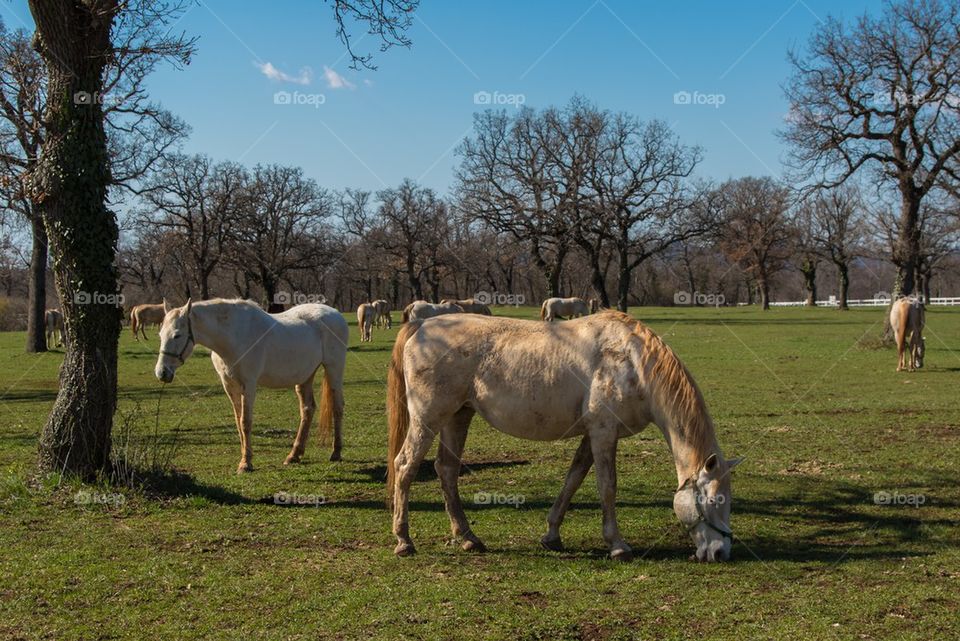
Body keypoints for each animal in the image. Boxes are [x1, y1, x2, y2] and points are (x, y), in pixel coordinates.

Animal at [156, 298, 350, 470]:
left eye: (177, 335)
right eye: (160, 335)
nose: (161, 372)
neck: (234, 337)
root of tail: (335, 314)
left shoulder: (248, 385)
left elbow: (245, 422)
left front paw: (246, 463)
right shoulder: (230, 386)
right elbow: (238, 422)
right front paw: (244, 458)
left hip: (334, 369)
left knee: (337, 407)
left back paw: (336, 453)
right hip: (305, 376)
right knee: (307, 409)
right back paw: (294, 455)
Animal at [384, 312, 744, 564]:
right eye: (715, 500)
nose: (720, 552)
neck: (632, 362)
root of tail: (421, 325)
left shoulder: (592, 434)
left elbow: (573, 480)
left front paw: (552, 535)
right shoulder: (603, 433)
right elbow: (606, 487)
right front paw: (617, 545)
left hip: (458, 416)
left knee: (446, 470)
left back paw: (468, 537)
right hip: (428, 419)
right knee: (405, 466)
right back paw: (403, 541)